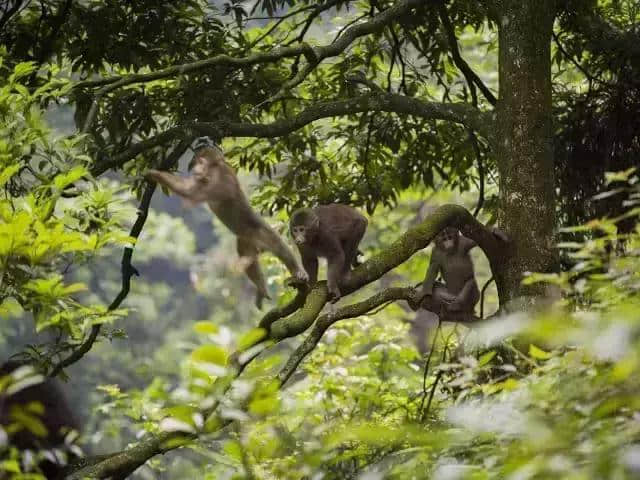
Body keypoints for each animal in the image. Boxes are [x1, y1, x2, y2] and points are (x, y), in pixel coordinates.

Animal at [146, 144, 306, 308]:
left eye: (198, 162)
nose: (195, 168)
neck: (215, 168)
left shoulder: (218, 179)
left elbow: (191, 193)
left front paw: (154, 174)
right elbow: (190, 188)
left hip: (264, 232)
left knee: (281, 248)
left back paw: (297, 271)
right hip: (248, 240)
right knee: (248, 257)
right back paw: (261, 289)